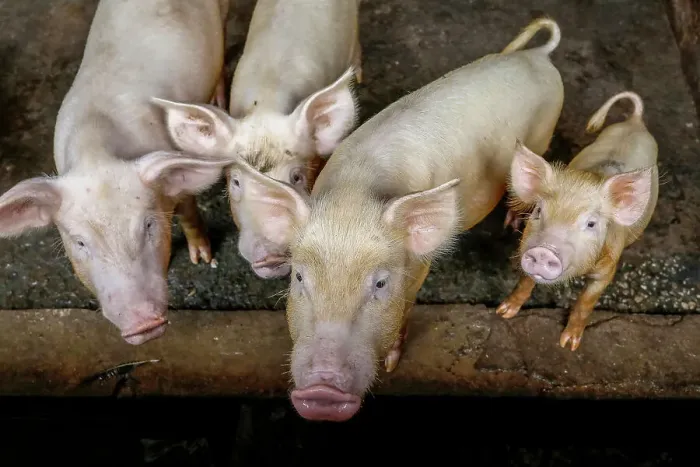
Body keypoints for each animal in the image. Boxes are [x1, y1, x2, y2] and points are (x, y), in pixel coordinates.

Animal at [0, 0, 233, 345]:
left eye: (149, 225)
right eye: (80, 243)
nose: (142, 323)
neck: (96, 155)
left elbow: (189, 212)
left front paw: (203, 259)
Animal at [228, 17, 565, 421]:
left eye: (380, 283)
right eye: (299, 277)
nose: (323, 391)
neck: (354, 196)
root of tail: (540, 55)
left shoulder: (419, 265)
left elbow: (406, 306)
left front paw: (390, 365)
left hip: (543, 136)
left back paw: (513, 222)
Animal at [496, 91, 659, 351]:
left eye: (591, 224)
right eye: (539, 211)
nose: (544, 250)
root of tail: (635, 121)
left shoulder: (607, 270)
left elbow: (586, 302)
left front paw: (568, 345)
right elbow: (524, 282)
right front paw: (503, 312)